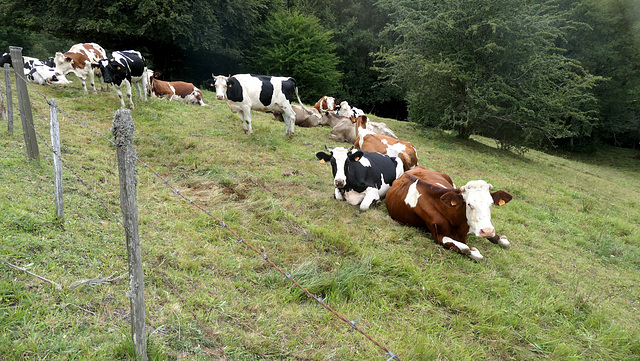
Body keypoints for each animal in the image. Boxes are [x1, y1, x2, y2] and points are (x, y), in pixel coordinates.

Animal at [382, 166, 512, 262]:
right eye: (469, 204)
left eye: (491, 203)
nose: (487, 231)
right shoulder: (438, 235)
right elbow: (466, 249)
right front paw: (474, 251)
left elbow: (504, 242)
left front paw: (500, 238)